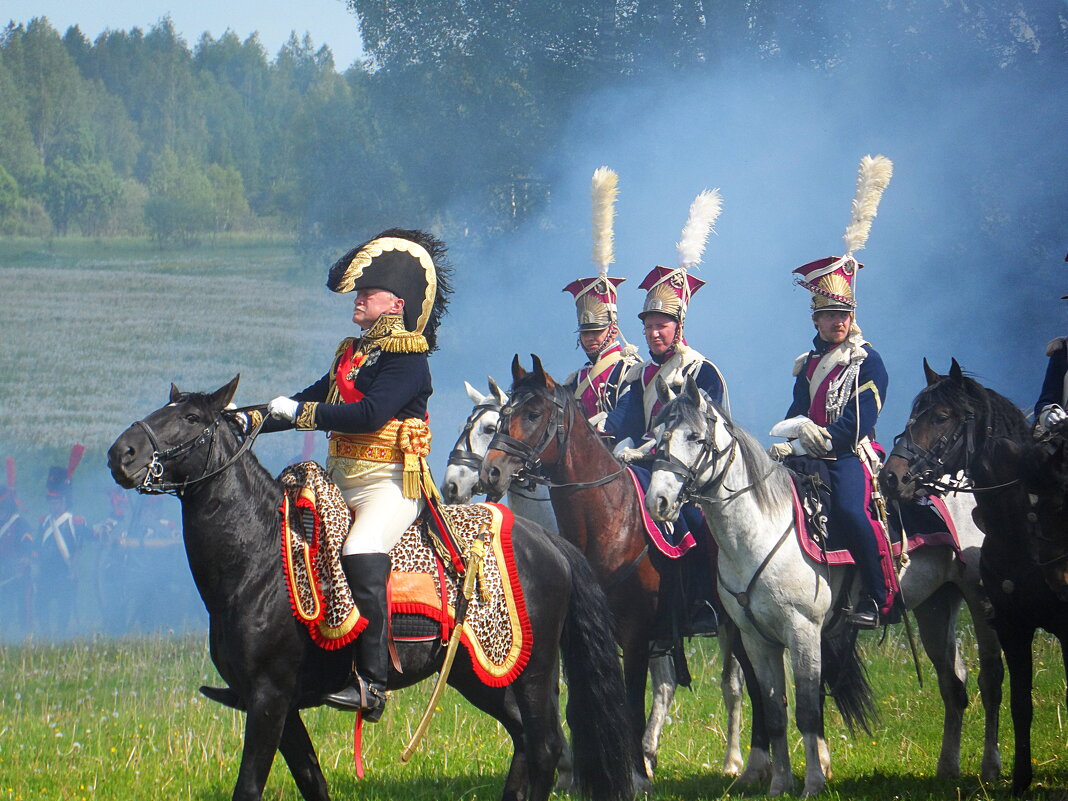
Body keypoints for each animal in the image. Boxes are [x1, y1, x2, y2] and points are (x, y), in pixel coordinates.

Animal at [107, 380, 636, 801]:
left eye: (191, 418)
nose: (121, 455)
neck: (260, 560)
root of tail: (547, 541)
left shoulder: (269, 698)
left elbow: (250, 787)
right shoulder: (282, 707)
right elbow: (312, 781)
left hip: (532, 673)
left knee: (545, 746)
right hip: (480, 674)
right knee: (526, 742)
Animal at [480, 356, 764, 790]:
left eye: (533, 414)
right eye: (502, 415)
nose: (491, 472)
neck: (611, 521)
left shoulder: (635, 636)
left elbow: (631, 704)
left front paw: (636, 776)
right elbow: (577, 706)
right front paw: (581, 776)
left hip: (735, 626)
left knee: (742, 685)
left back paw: (741, 763)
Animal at [645, 380, 1003, 798]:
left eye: (695, 437)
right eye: (657, 437)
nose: (658, 502)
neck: (760, 528)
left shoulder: (803, 630)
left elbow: (807, 709)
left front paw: (813, 782)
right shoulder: (755, 638)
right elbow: (774, 710)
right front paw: (780, 784)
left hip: (980, 600)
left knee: (990, 678)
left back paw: (990, 767)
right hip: (936, 605)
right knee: (953, 682)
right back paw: (947, 767)